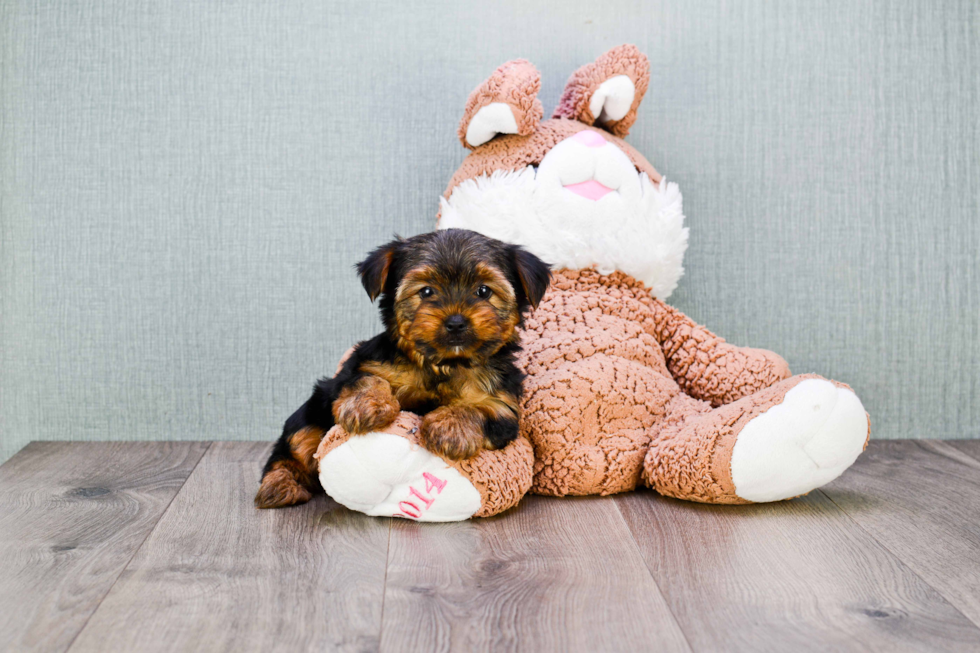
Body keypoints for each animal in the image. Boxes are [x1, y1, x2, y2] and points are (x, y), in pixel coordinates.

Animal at [255, 229, 552, 510]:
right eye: (426, 292)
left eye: (483, 291)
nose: (456, 321)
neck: (444, 364)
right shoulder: (360, 365)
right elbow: (366, 379)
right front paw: (366, 405)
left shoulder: (504, 406)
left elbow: (480, 409)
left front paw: (450, 426)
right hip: (310, 415)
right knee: (292, 448)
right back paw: (279, 486)